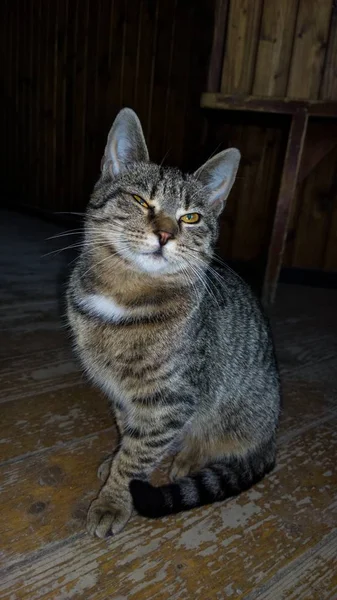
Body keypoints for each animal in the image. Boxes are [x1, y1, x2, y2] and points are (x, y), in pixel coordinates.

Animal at [67, 108, 280, 540]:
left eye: (191, 217)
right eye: (139, 200)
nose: (165, 234)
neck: (124, 293)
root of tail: (272, 436)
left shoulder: (169, 399)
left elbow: (138, 455)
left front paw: (113, 500)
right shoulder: (124, 394)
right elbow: (129, 435)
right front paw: (115, 463)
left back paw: (188, 457)